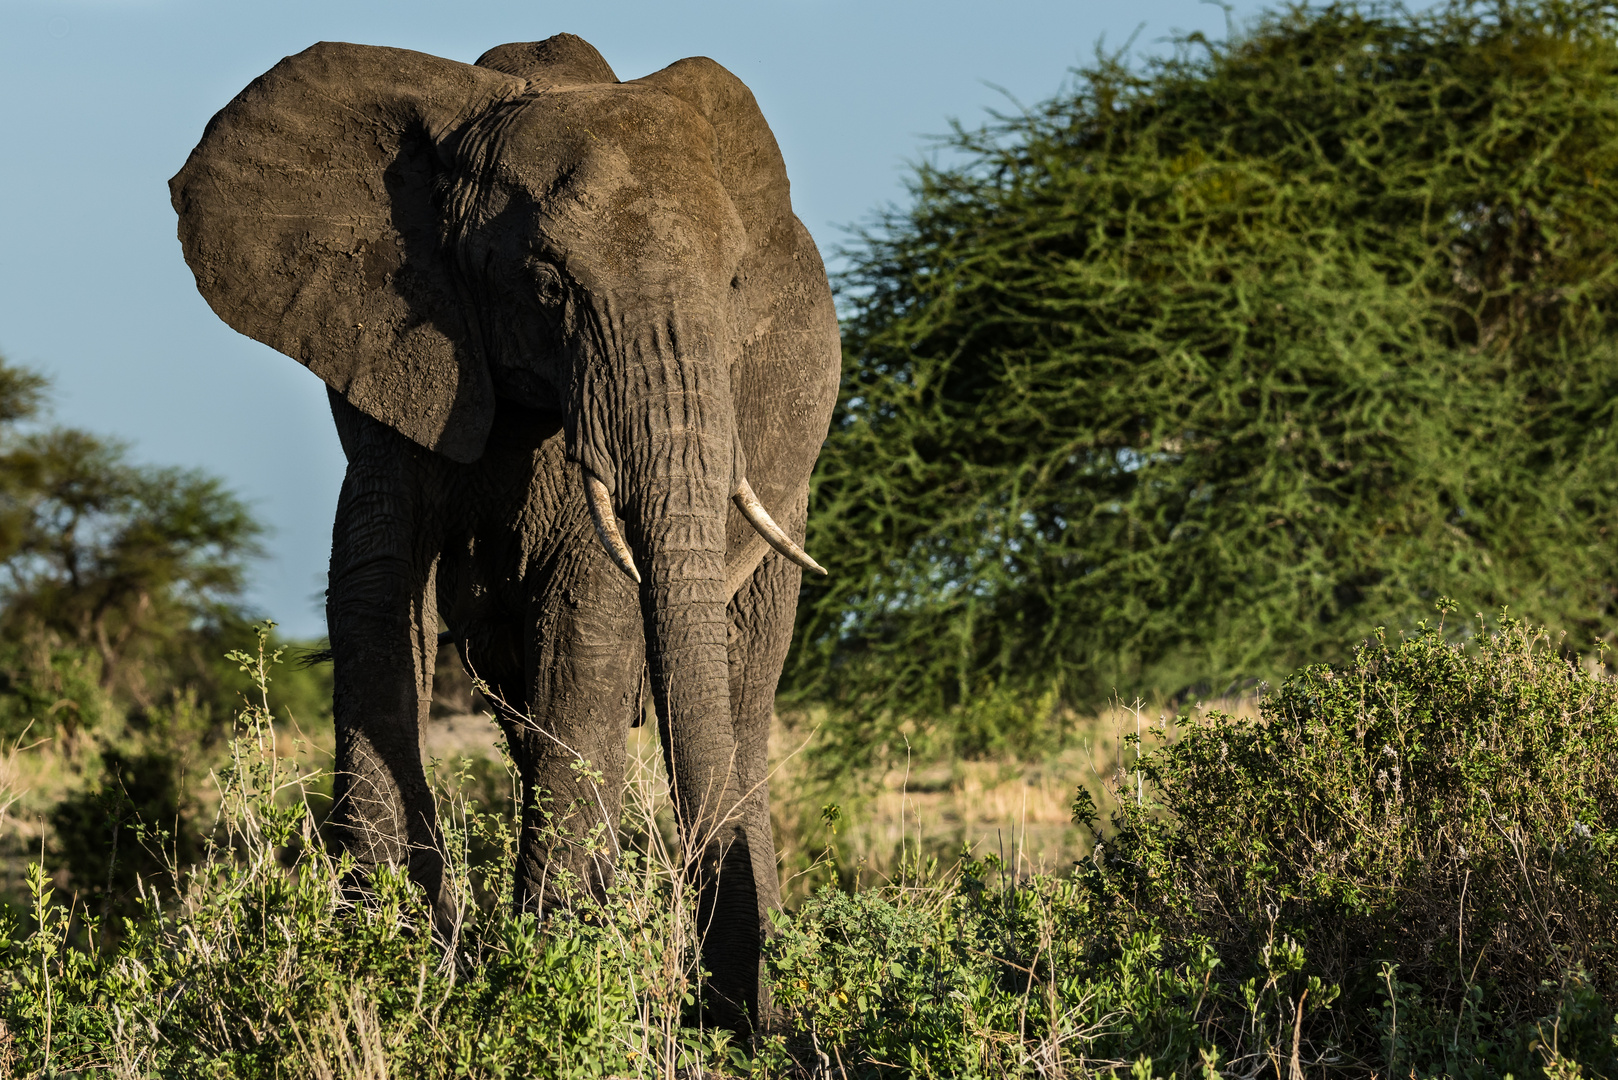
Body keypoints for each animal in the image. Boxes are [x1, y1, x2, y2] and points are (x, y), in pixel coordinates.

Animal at [170, 31, 841, 1029]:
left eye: (732, 285)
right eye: (549, 282)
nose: (721, 1018)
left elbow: (589, 609)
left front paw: (546, 978)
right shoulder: (394, 355)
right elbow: (375, 591)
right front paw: (400, 969)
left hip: (782, 507)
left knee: (744, 697)